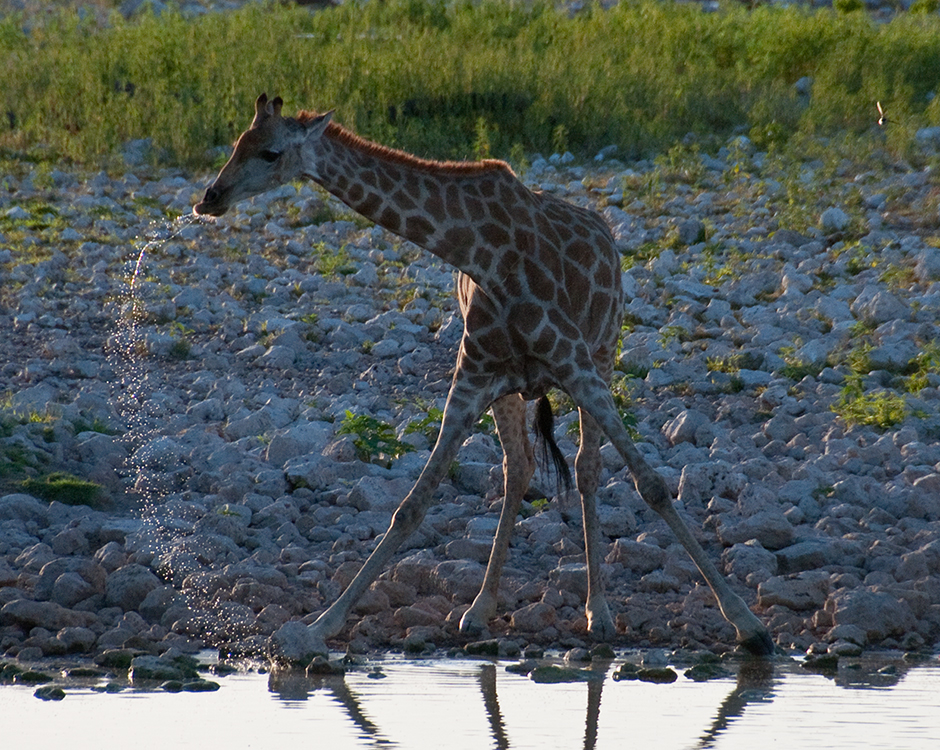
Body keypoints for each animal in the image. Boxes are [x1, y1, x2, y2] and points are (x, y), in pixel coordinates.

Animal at [195, 94, 776, 656]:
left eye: (270, 153)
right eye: (236, 143)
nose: (209, 198)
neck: (484, 254)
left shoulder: (577, 364)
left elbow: (652, 485)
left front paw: (749, 625)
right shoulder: (472, 377)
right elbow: (411, 506)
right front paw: (319, 627)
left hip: (605, 352)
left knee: (587, 469)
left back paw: (599, 612)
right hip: (512, 390)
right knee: (518, 469)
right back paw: (479, 609)